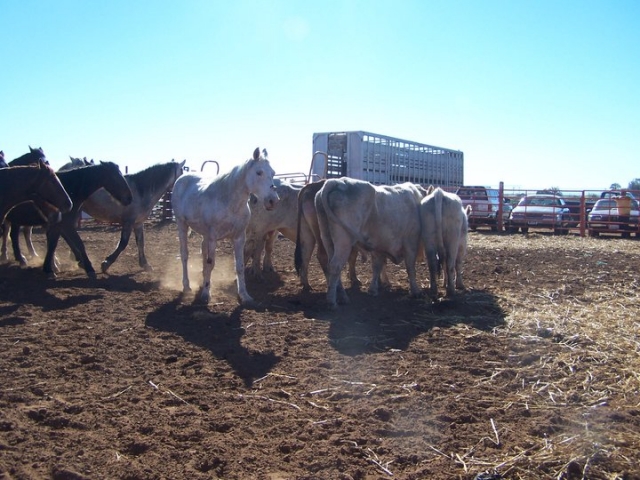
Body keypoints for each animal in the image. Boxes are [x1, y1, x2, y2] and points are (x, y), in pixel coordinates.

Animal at [2, 162, 132, 278]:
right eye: (115, 177)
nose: (129, 198)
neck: (71, 188)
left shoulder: (60, 224)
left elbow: (56, 243)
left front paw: (54, 266)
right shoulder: (64, 224)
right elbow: (75, 243)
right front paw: (88, 267)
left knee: (16, 235)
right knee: (13, 235)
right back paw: (19, 258)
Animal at [171, 147, 280, 305]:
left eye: (273, 173)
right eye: (259, 172)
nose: (273, 201)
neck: (229, 203)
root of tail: (182, 179)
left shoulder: (239, 238)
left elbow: (239, 266)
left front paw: (244, 296)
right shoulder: (213, 238)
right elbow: (211, 264)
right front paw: (206, 295)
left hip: (204, 234)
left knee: (202, 253)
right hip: (182, 225)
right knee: (185, 255)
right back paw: (187, 286)